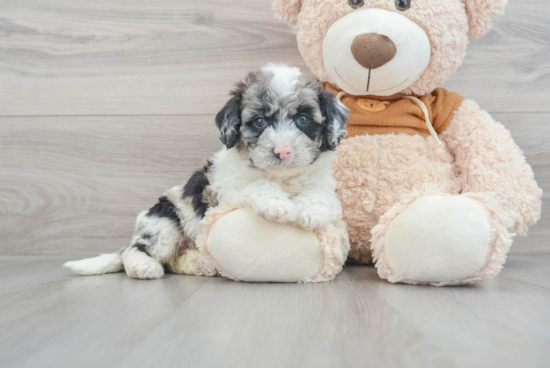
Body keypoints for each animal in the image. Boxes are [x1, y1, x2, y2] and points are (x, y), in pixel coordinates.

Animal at [64, 64, 350, 280]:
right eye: (259, 121)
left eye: (303, 119)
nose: (283, 151)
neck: (281, 178)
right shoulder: (225, 189)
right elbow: (256, 185)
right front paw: (277, 205)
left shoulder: (322, 182)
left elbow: (319, 195)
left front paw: (311, 212)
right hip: (164, 223)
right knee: (134, 251)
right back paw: (144, 266)